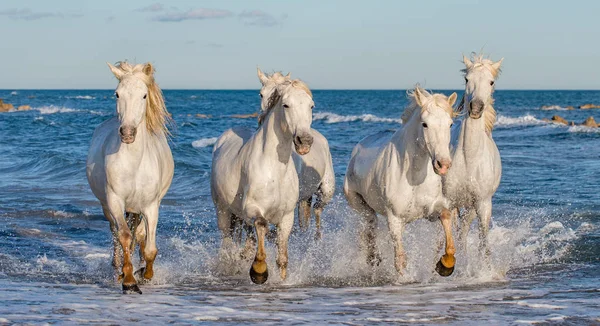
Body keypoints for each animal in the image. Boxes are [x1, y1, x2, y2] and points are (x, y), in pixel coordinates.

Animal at [85, 61, 173, 292]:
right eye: (117, 94)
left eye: (144, 95)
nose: (127, 133)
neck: (134, 164)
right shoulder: (115, 201)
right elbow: (124, 236)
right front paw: (129, 280)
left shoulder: (151, 206)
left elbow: (149, 247)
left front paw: (145, 274)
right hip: (108, 207)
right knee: (116, 232)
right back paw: (118, 268)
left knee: (139, 234)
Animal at [211, 78, 314, 282]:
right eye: (286, 105)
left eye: (311, 106)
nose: (304, 141)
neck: (274, 171)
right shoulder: (253, 208)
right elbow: (262, 224)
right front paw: (258, 271)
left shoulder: (287, 216)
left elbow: (282, 256)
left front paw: (281, 280)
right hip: (223, 211)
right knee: (227, 241)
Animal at [255, 68, 336, 239]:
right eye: (261, 94)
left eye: (311, 106)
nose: (304, 141)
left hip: (326, 190)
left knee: (317, 210)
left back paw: (317, 238)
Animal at [344, 86, 458, 276]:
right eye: (425, 124)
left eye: (450, 124)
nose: (443, 165)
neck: (414, 176)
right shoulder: (394, 219)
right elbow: (400, 260)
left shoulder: (431, 211)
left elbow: (446, 218)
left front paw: (445, 265)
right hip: (362, 206)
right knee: (370, 228)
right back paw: (372, 257)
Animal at [442, 52, 504, 258]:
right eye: (467, 79)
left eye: (491, 82)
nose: (476, 108)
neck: (469, 159)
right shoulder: (448, 201)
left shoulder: (483, 205)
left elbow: (484, 245)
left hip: (470, 208)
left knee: (463, 233)